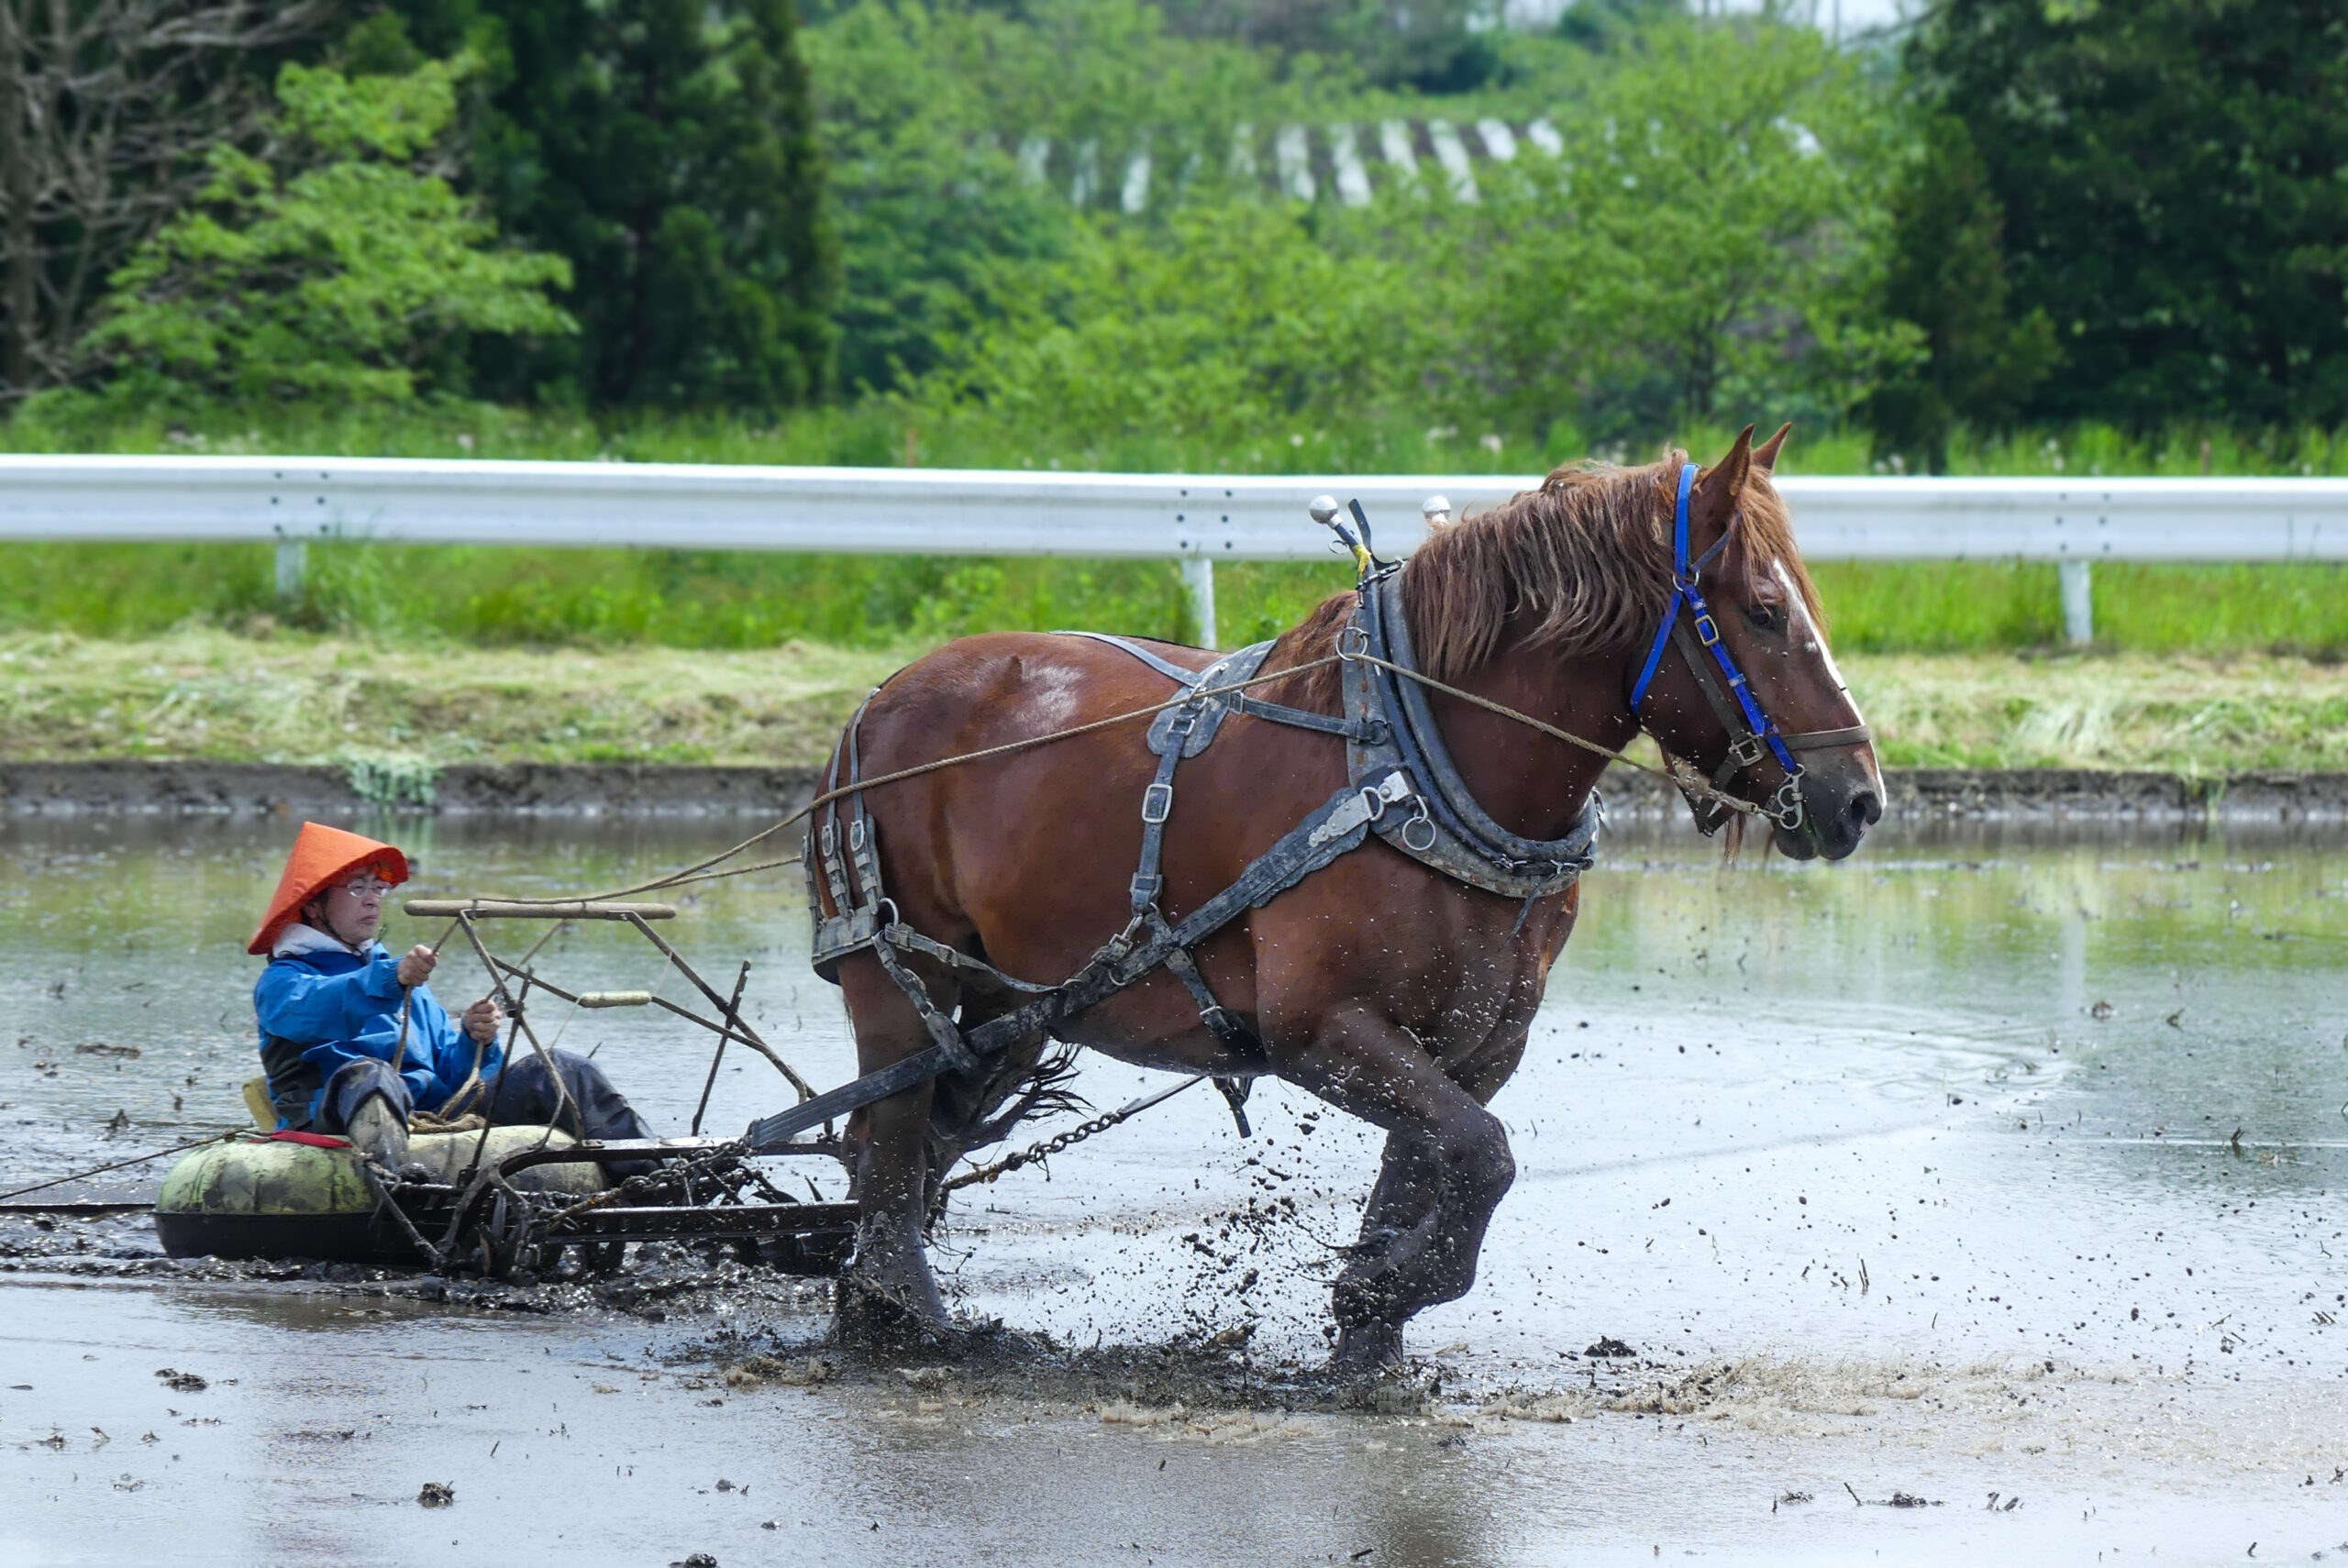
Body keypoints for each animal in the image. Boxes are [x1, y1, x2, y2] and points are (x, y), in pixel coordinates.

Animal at [807, 426, 1882, 1369]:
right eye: (1762, 611)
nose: (1860, 797)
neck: (1416, 765)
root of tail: (878, 700)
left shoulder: (1474, 1043)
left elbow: (1434, 1168)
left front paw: (1373, 1333)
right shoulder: (1319, 1028)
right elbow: (1483, 1154)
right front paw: (1384, 1288)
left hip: (1009, 1006)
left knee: (908, 1141)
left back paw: (869, 1305)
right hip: (893, 979)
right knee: (890, 1143)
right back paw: (908, 1314)